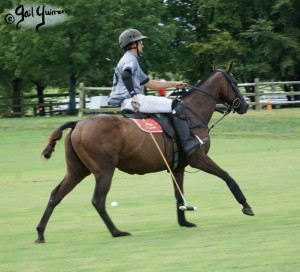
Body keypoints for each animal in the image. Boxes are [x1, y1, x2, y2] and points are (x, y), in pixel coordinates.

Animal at [35, 62, 255, 243]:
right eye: (235, 82)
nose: (245, 105)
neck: (193, 113)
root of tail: (77, 124)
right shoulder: (198, 158)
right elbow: (228, 177)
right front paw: (246, 206)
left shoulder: (178, 167)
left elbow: (179, 194)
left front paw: (184, 221)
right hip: (104, 170)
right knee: (98, 200)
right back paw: (117, 232)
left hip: (77, 169)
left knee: (56, 195)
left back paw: (40, 233)